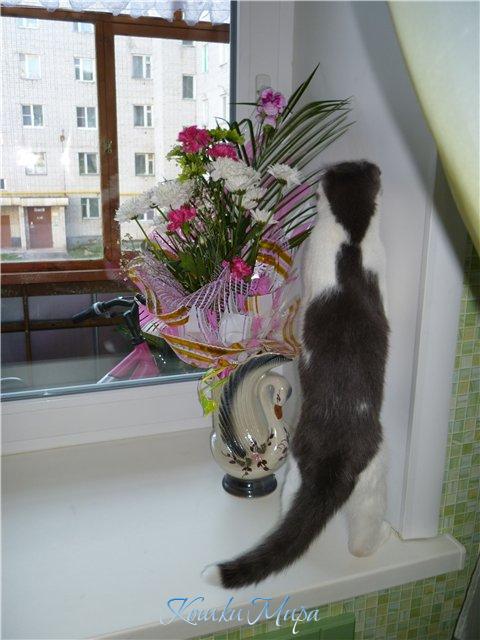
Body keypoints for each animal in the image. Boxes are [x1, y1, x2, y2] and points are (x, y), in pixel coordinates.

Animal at [202, 160, 391, 589]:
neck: (351, 238)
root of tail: (337, 458)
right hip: (372, 483)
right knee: (362, 532)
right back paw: (373, 544)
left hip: (298, 477)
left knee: (298, 520)